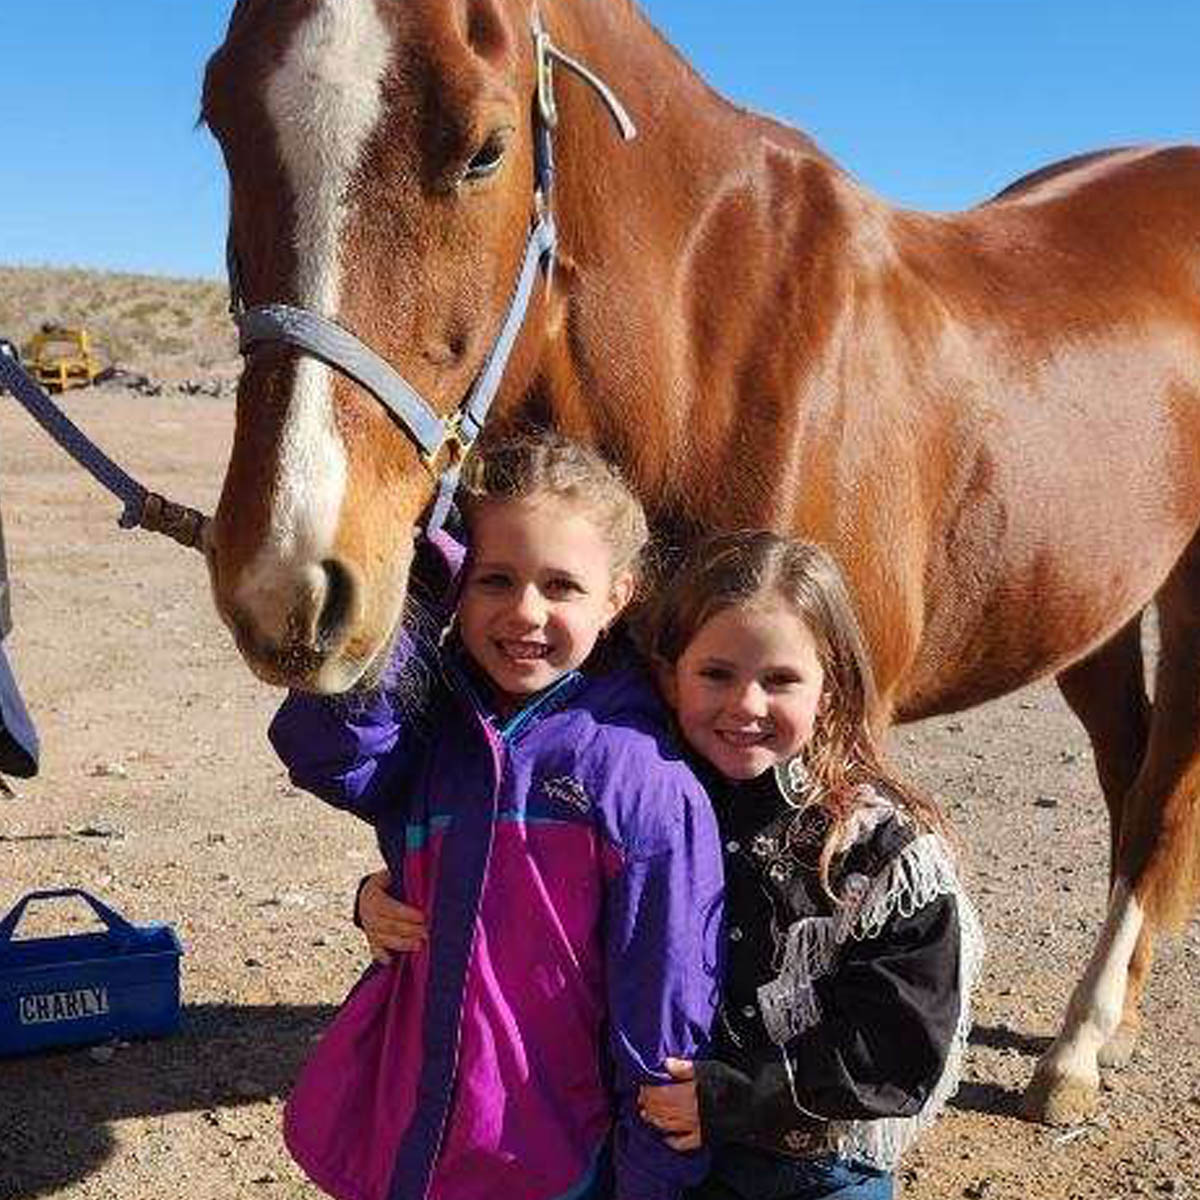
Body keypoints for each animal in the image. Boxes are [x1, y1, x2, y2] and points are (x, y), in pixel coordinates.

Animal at [200, 0, 1200, 1127]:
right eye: (221, 124)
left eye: (485, 149)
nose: (288, 581)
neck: (712, 354)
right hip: (1090, 606)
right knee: (1128, 769)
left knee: (1162, 799)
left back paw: (1078, 1047)